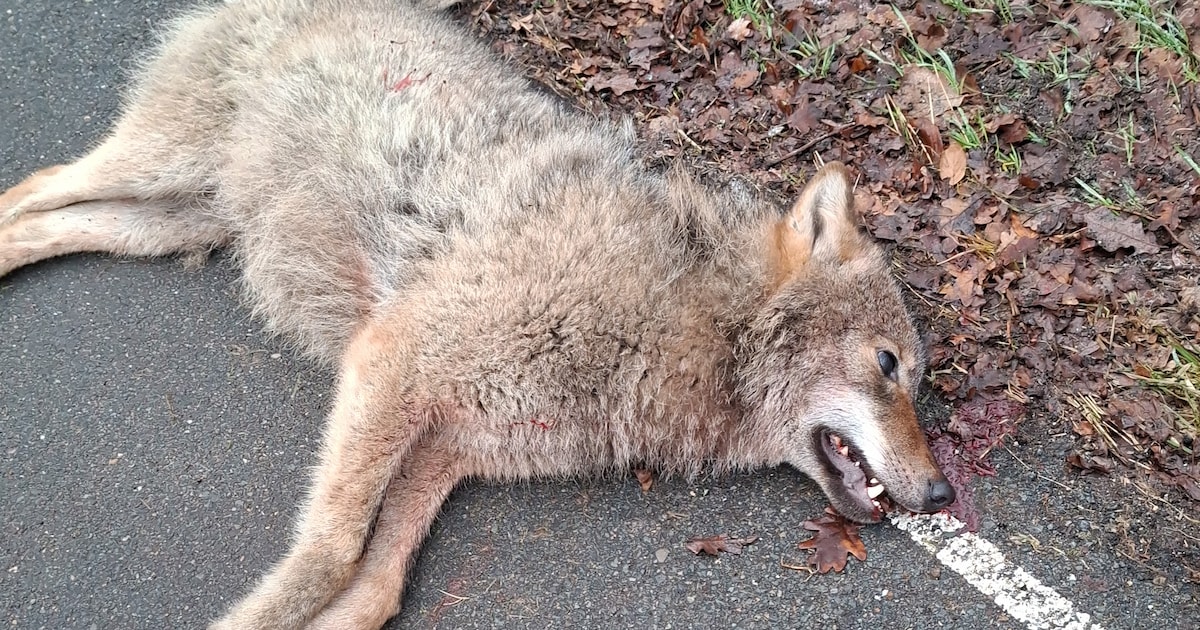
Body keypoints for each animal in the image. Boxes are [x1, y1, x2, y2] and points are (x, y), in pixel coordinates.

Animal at [0, 0, 955, 628]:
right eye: (890, 367)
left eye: (917, 379)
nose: (945, 493)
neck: (682, 318)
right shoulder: (392, 363)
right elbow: (331, 554)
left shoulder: (448, 445)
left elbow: (377, 586)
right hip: (160, 168)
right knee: (31, 189)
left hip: (173, 221)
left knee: (47, 222)